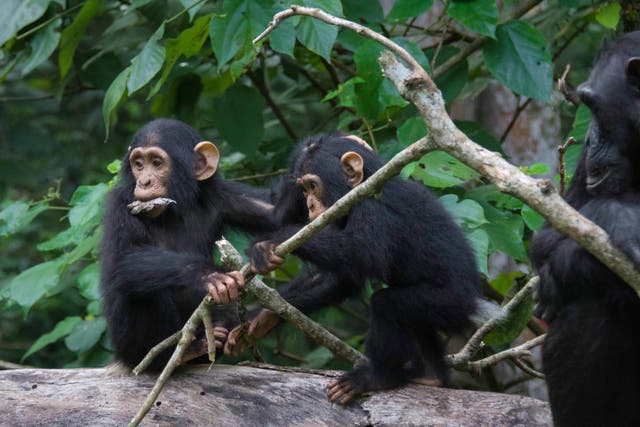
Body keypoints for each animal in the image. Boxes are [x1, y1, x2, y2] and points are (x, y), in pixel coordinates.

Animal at [100, 118, 276, 372]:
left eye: (156, 163)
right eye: (139, 164)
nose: (144, 181)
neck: (174, 209)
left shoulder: (224, 195)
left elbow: (279, 211)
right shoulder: (120, 204)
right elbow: (120, 261)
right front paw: (207, 274)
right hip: (129, 350)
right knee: (138, 285)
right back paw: (184, 352)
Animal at [225, 134, 480, 404]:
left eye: (313, 186)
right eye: (303, 189)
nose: (310, 205)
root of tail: (474, 302)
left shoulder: (373, 205)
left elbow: (360, 252)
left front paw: (271, 241)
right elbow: (342, 277)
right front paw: (260, 318)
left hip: (447, 302)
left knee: (387, 305)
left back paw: (376, 377)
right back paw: (431, 377)